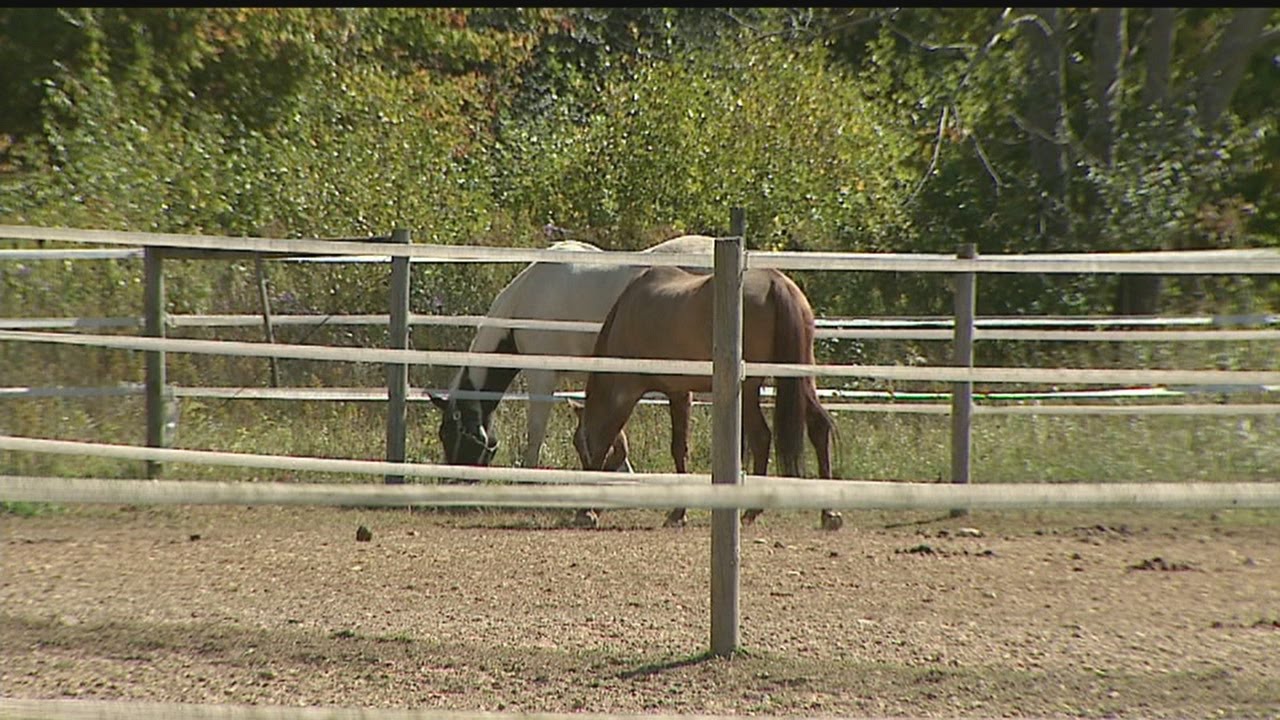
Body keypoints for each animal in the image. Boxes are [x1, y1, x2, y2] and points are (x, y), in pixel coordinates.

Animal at [570, 265, 844, 531]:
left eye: (580, 447)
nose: (585, 507)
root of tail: (776, 283)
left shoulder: (629, 393)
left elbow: (610, 441)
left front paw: (586, 513)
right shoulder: (679, 394)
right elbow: (680, 448)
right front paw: (679, 513)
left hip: (750, 390)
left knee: (762, 437)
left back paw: (751, 512)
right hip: (801, 378)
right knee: (818, 428)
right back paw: (829, 513)